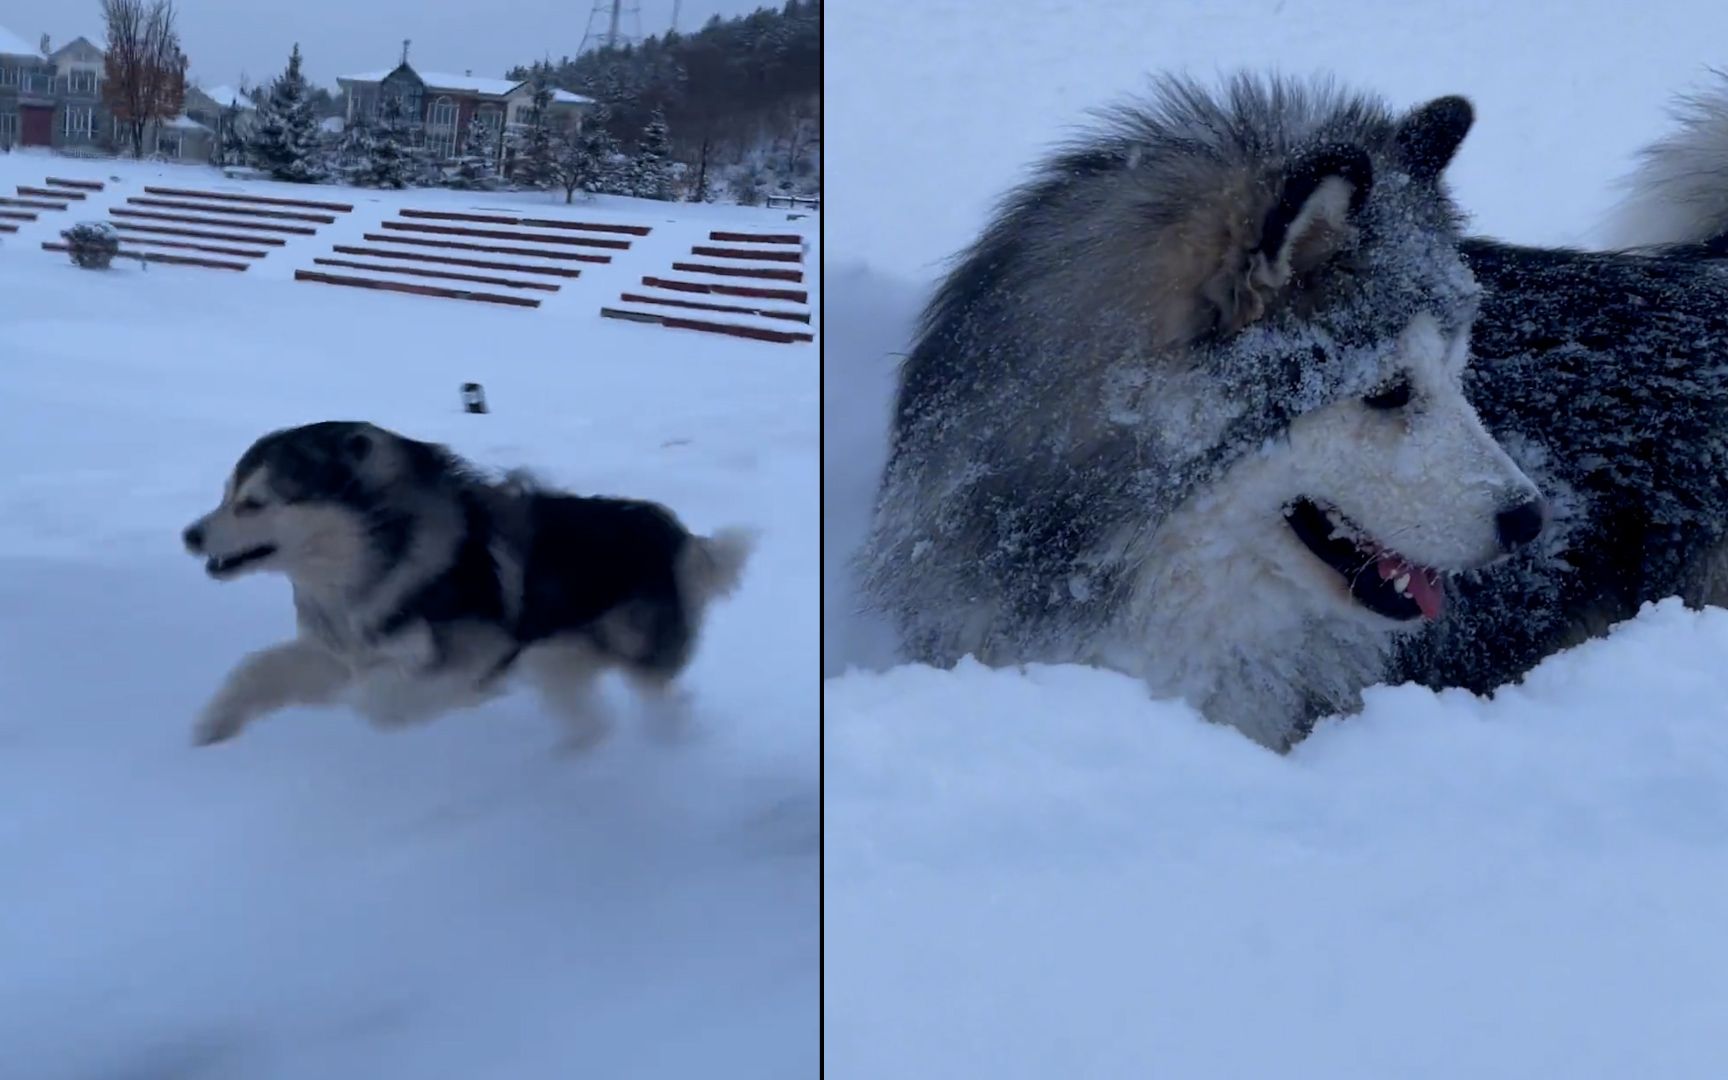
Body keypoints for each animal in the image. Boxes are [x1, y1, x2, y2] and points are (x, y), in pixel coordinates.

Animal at [178, 423, 753, 749]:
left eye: (254, 503)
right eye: (226, 494)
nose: (190, 535)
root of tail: (680, 536)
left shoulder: (475, 655)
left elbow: (379, 701)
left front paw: (364, 700)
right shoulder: (341, 649)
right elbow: (259, 667)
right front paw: (217, 720)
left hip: (635, 655)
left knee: (666, 702)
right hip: (555, 664)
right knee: (593, 722)